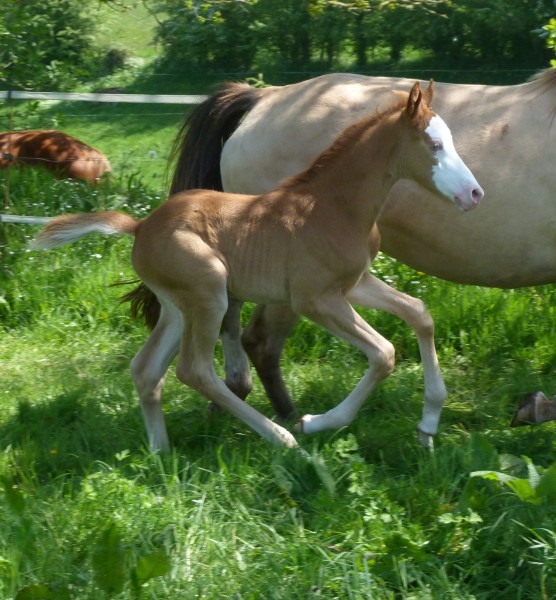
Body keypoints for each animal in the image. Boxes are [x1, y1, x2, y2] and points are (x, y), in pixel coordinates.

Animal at [31, 83, 482, 450]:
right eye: (435, 145)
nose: (475, 194)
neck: (334, 205)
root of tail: (140, 226)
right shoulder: (314, 299)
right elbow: (384, 353)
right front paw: (317, 422)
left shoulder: (353, 284)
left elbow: (418, 313)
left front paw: (429, 421)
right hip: (209, 291)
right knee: (195, 370)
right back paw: (281, 437)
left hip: (178, 306)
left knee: (146, 369)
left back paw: (161, 453)